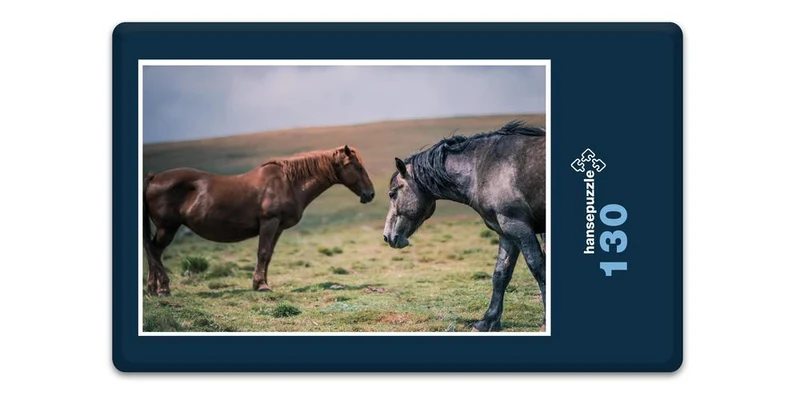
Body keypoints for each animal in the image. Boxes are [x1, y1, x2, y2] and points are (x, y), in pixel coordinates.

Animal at [143, 145, 375, 296]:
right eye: (357, 167)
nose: (370, 194)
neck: (288, 182)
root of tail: (155, 178)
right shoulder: (269, 222)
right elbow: (262, 253)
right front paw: (261, 286)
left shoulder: (278, 227)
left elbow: (269, 255)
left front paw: (261, 283)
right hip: (167, 227)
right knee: (154, 251)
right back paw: (163, 288)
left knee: (153, 251)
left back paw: (152, 288)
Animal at [382, 121, 546, 332]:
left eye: (392, 193)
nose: (387, 236)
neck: (484, 167)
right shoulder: (507, 232)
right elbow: (501, 274)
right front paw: (487, 321)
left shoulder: (518, 227)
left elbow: (538, 268)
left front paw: (545, 322)